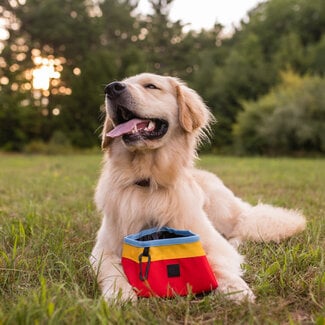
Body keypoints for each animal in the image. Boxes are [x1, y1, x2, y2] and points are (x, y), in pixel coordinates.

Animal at [89, 73, 306, 302]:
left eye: (151, 86)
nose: (112, 88)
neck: (148, 181)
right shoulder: (102, 250)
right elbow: (110, 268)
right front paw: (119, 293)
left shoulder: (209, 240)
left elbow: (217, 262)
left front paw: (235, 288)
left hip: (224, 212)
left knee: (241, 227)